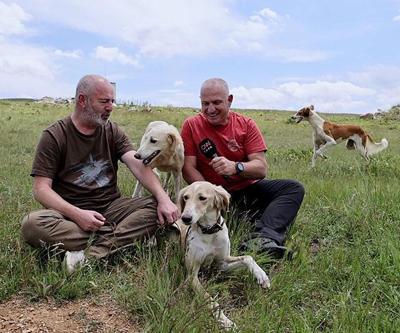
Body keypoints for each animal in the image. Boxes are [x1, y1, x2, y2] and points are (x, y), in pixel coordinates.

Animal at [175, 182, 268, 330]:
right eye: (185, 197)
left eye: (202, 198)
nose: (186, 218)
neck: (209, 232)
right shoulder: (192, 276)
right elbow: (211, 300)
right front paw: (225, 320)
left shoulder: (221, 265)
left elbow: (248, 257)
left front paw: (261, 276)